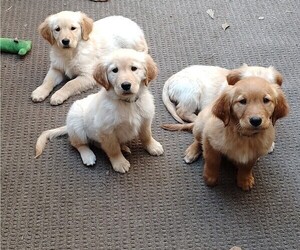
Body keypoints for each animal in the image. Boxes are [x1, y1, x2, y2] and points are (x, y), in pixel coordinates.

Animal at [35, 49, 164, 173]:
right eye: (114, 70)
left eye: (134, 68)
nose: (126, 85)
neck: (127, 103)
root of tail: (67, 126)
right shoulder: (106, 130)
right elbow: (113, 148)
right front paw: (119, 162)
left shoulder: (145, 120)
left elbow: (147, 135)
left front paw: (153, 146)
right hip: (77, 126)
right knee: (77, 143)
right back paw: (88, 156)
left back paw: (123, 147)